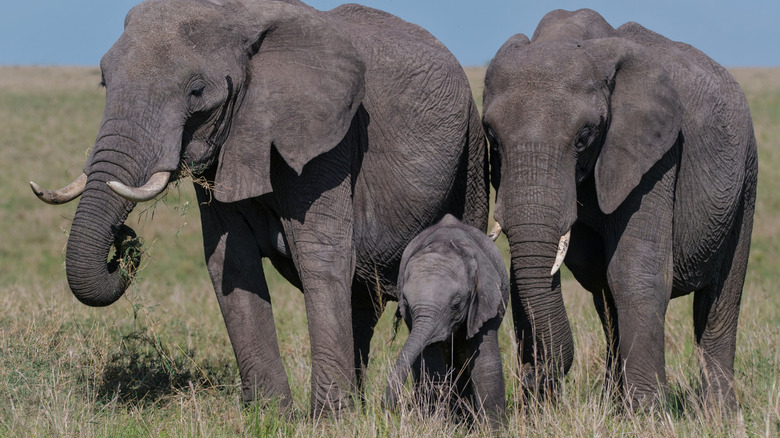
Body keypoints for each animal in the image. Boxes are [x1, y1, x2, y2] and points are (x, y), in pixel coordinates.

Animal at [30, 0, 488, 415]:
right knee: (362, 301)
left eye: (197, 91)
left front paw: (327, 420)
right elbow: (230, 262)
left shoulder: (326, 145)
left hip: (471, 154)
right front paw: (271, 415)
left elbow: (321, 257)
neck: (237, 15)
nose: (123, 240)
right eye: (104, 82)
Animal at [383, 214, 508, 426]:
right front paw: (434, 424)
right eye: (405, 302)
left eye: (456, 304)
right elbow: (431, 366)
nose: (390, 407)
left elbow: (485, 365)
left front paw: (494, 429)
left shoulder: (487, 301)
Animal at [481, 9, 757, 411]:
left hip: (746, 177)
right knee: (604, 295)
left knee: (721, 299)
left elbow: (634, 271)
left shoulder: (657, 149)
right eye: (492, 136)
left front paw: (648, 415)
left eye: (584, 137)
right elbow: (541, 276)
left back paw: (720, 415)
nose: (532, 377)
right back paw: (615, 404)